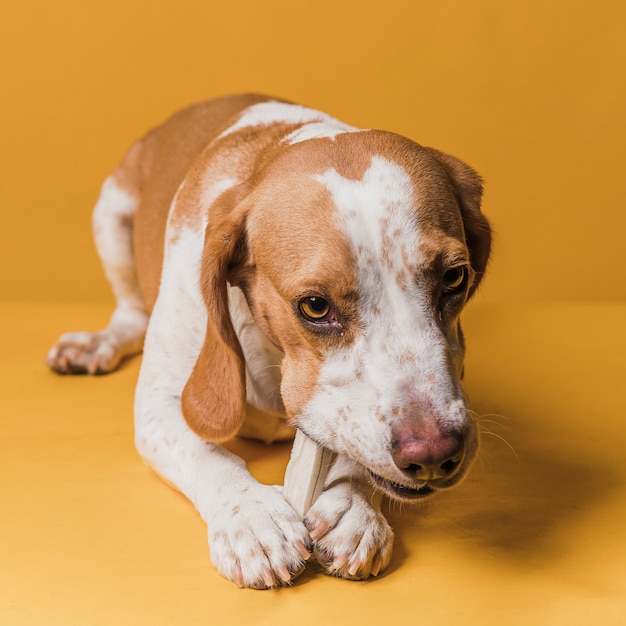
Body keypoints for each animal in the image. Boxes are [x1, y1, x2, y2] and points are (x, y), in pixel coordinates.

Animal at [46, 92, 490, 584]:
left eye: (454, 277)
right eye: (314, 306)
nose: (433, 453)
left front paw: (352, 505)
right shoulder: (158, 406)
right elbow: (209, 454)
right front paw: (251, 516)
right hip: (110, 215)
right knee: (130, 315)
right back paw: (98, 342)